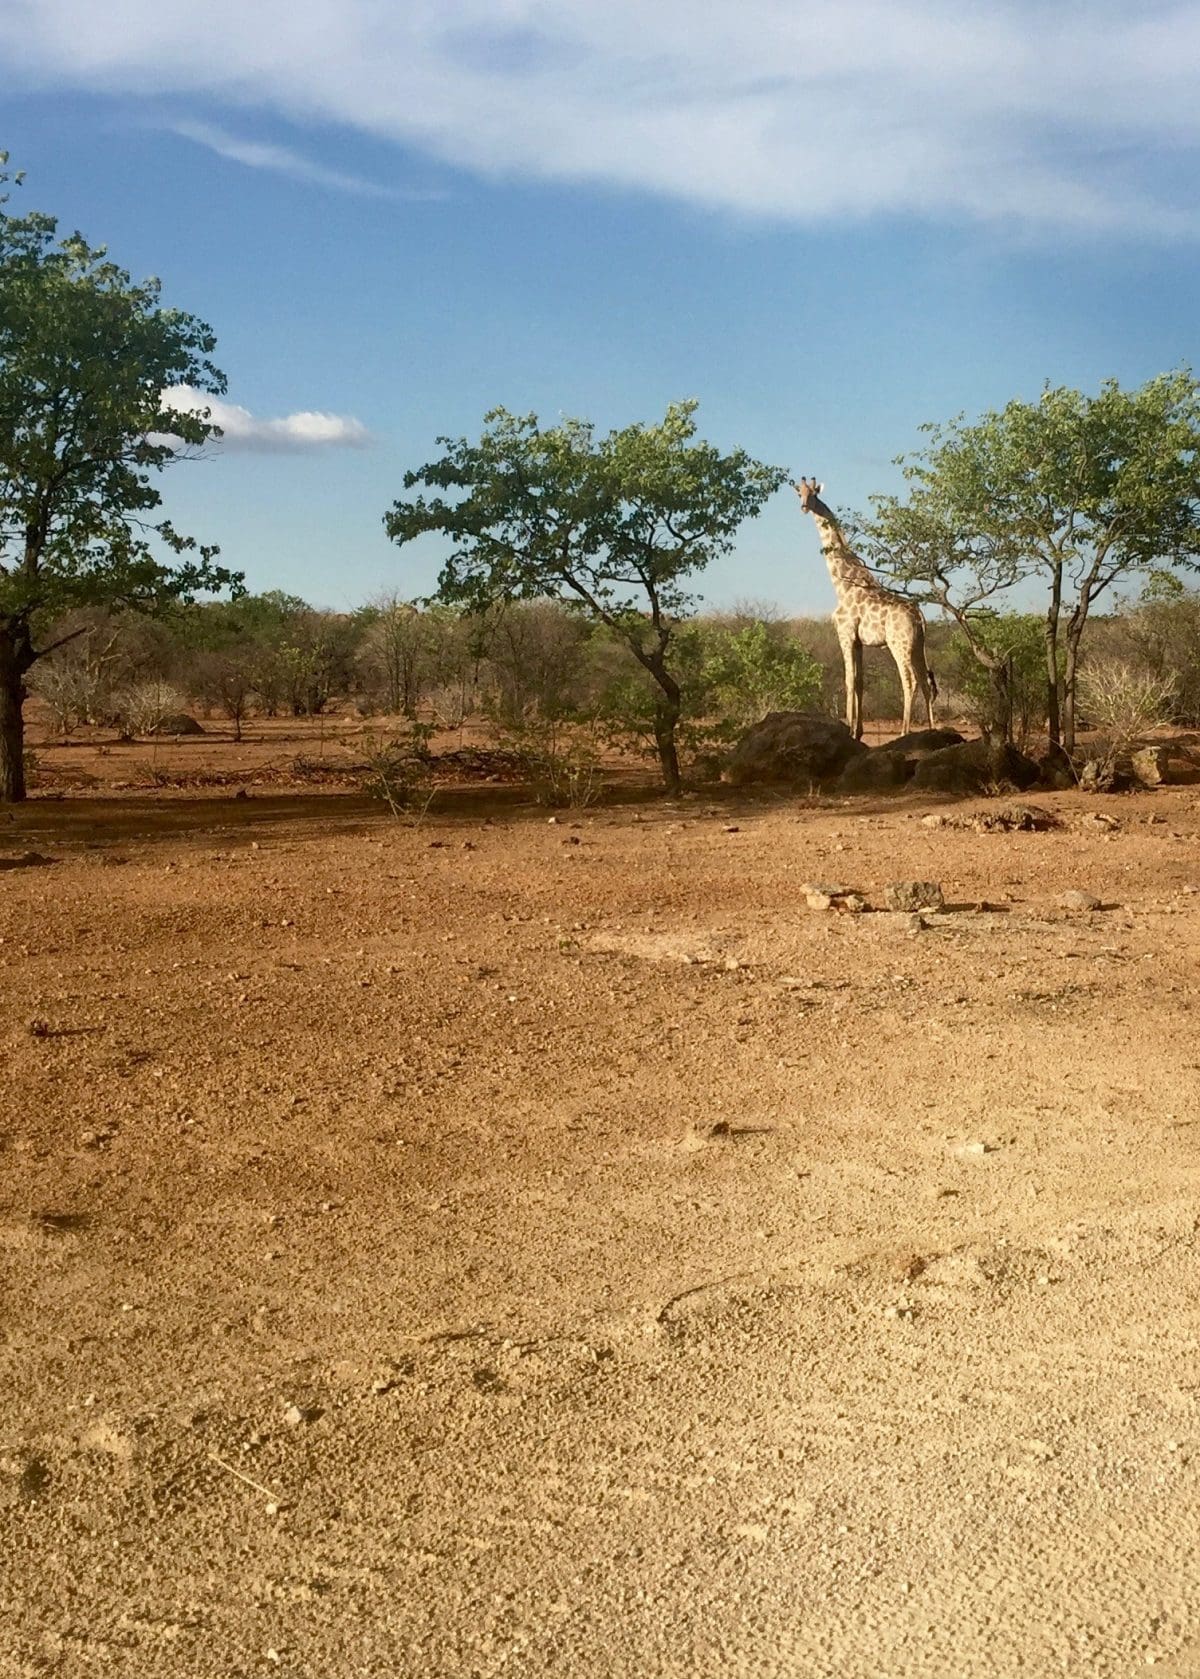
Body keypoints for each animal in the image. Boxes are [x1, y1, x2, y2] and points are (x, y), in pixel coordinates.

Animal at [798, 473, 939, 735]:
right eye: (799, 492)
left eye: (813, 493)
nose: (803, 506)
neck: (842, 585)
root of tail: (919, 617)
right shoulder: (859, 642)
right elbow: (860, 681)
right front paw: (859, 731)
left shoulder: (844, 635)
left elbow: (848, 680)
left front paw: (849, 728)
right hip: (918, 645)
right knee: (926, 682)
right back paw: (933, 730)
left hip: (899, 644)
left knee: (909, 681)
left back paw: (904, 731)